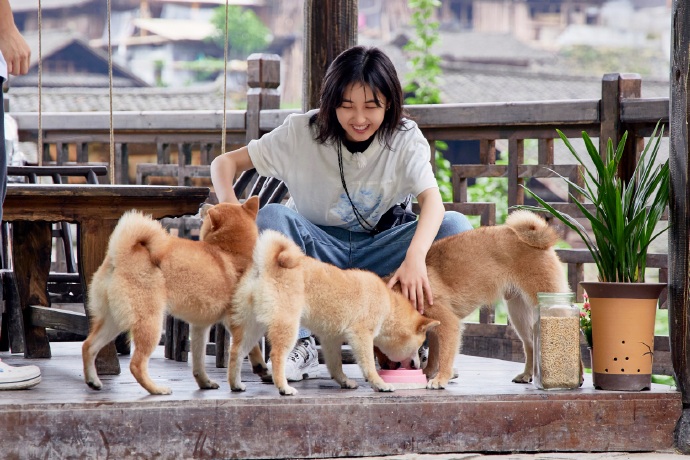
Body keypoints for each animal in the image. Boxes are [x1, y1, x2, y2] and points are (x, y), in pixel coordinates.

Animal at [83, 198, 268, 396]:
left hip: (113, 322)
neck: (230, 251)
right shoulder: (237, 321)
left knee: (88, 346)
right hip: (151, 324)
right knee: (136, 365)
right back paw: (156, 389)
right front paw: (241, 380)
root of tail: (120, 254)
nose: (203, 204)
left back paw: (93, 381)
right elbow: (244, 350)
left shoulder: (200, 326)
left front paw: (205, 382)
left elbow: (199, 361)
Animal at [228, 230, 438, 396]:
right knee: (276, 355)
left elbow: (335, 365)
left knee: (236, 352)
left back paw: (235, 384)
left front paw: (344, 381)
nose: (417, 365)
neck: (388, 306)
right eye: (419, 346)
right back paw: (283, 387)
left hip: (251, 328)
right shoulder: (361, 336)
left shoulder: (331, 339)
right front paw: (380, 384)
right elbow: (369, 365)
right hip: (287, 325)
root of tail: (266, 264)